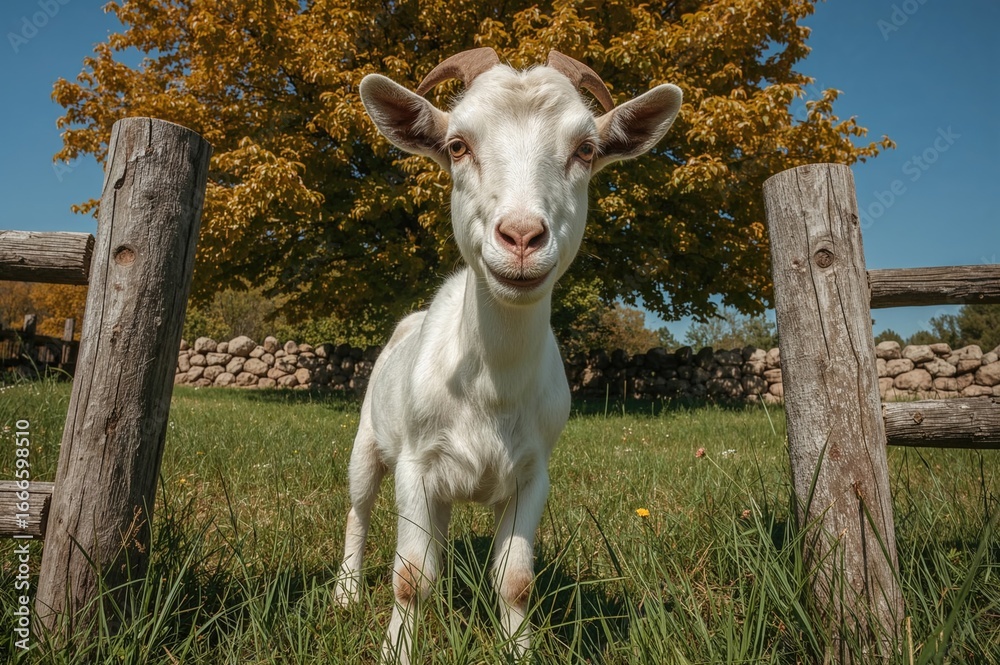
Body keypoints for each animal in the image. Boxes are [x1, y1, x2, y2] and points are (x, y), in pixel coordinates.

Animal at [334, 48, 682, 663]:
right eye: (457, 145)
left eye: (585, 148)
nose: (521, 237)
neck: (489, 388)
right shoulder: (416, 463)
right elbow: (410, 577)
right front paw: (398, 649)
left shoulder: (531, 474)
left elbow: (514, 579)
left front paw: (518, 648)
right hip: (369, 442)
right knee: (359, 508)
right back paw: (347, 592)